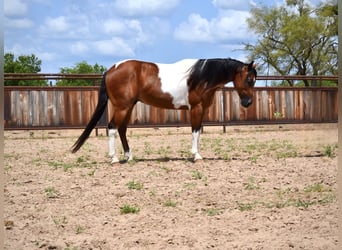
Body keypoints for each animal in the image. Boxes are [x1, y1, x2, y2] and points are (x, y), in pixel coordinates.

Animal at [71, 58, 256, 163]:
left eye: (254, 80)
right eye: (249, 79)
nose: (248, 102)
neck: (201, 76)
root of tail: (111, 69)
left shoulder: (201, 109)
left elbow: (197, 132)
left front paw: (197, 154)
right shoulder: (196, 108)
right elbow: (195, 131)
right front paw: (196, 156)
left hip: (129, 106)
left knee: (122, 129)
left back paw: (129, 157)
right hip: (122, 107)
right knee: (112, 128)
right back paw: (114, 158)